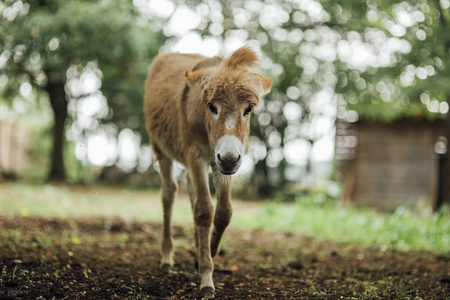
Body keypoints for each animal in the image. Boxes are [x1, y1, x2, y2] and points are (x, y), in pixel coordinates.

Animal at [144, 47, 270, 298]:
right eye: (212, 106)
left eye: (248, 109)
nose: (229, 159)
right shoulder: (196, 156)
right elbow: (204, 211)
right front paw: (206, 278)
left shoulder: (221, 164)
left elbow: (223, 212)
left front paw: (205, 255)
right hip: (161, 149)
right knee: (169, 194)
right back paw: (167, 257)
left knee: (191, 190)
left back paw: (195, 246)